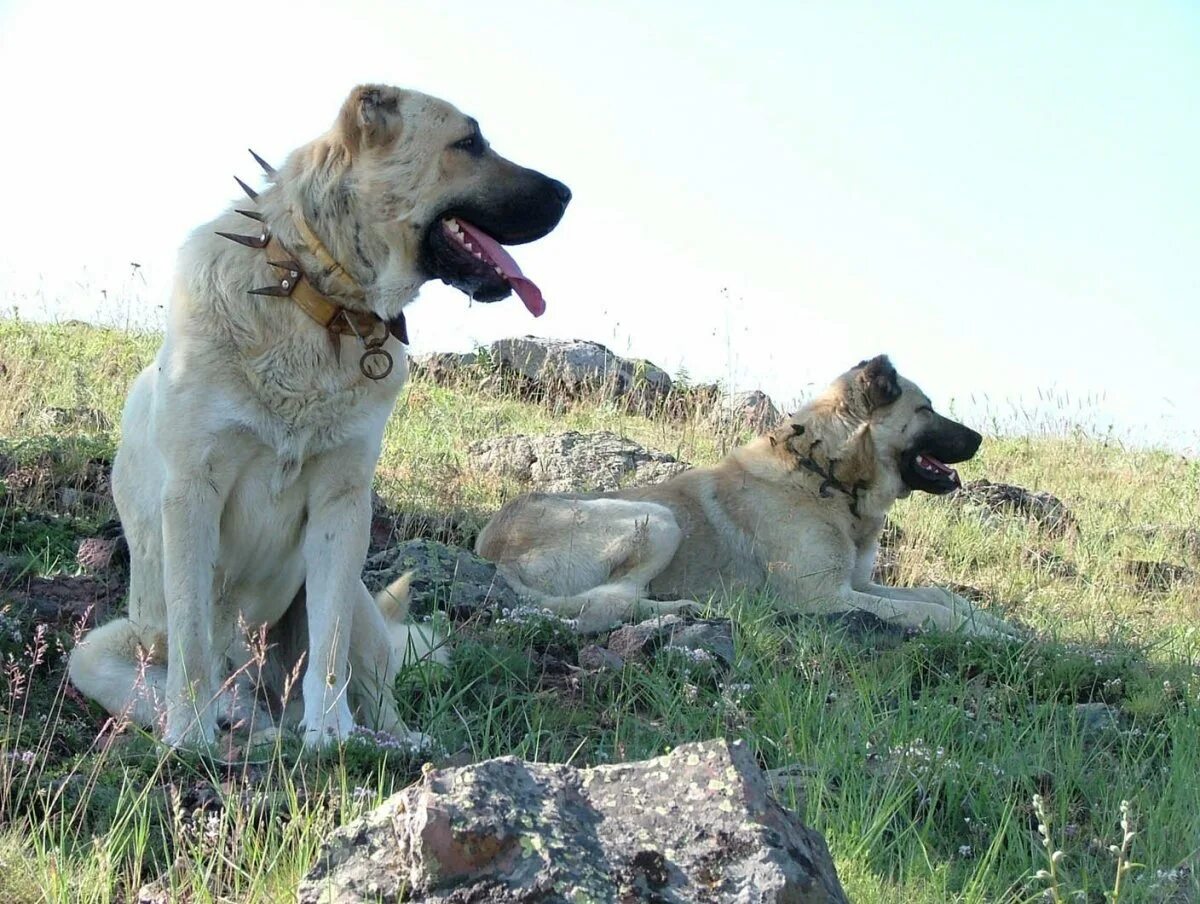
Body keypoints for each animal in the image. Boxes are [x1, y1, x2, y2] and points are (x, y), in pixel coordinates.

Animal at [66, 84, 571, 749]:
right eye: (468, 143)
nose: (566, 194)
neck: (317, 303)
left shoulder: (342, 504)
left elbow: (328, 645)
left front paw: (331, 733)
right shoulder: (192, 494)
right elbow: (194, 638)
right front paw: (191, 736)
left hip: (356, 598)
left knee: (375, 689)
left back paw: (386, 738)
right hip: (107, 648)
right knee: (192, 680)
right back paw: (233, 720)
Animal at [475, 355, 1012, 633]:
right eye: (926, 409)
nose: (981, 439)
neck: (825, 472)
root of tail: (491, 553)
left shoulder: (857, 583)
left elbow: (939, 595)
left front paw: (999, 623)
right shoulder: (824, 597)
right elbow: (929, 611)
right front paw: (987, 634)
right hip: (655, 517)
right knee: (607, 602)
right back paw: (680, 611)